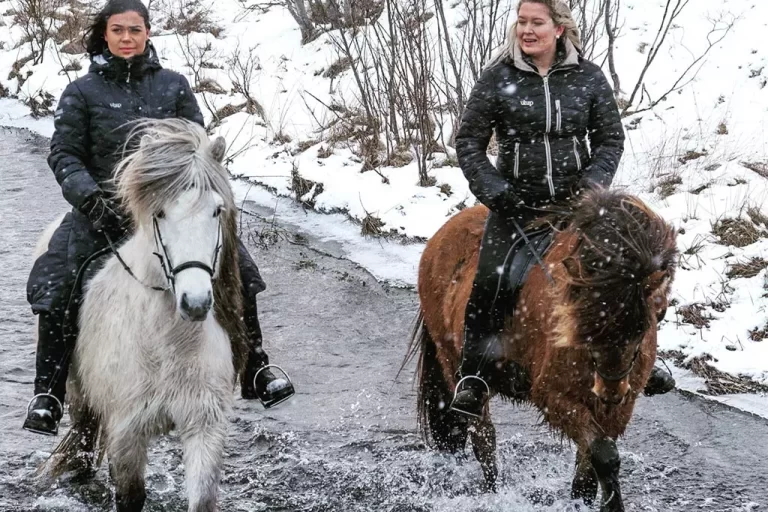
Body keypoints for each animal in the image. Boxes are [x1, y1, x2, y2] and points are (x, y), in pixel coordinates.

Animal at [37, 119, 248, 512]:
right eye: (160, 213)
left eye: (216, 210)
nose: (195, 303)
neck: (170, 342)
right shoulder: (126, 433)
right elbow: (130, 496)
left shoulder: (205, 425)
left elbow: (201, 499)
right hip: (79, 397)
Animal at [404, 190, 676, 510]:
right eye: (586, 322)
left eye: (647, 324)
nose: (610, 392)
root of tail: (437, 239)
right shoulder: (554, 398)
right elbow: (604, 454)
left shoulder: (620, 407)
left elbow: (589, 469)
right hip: (452, 359)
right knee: (482, 437)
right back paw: (493, 493)